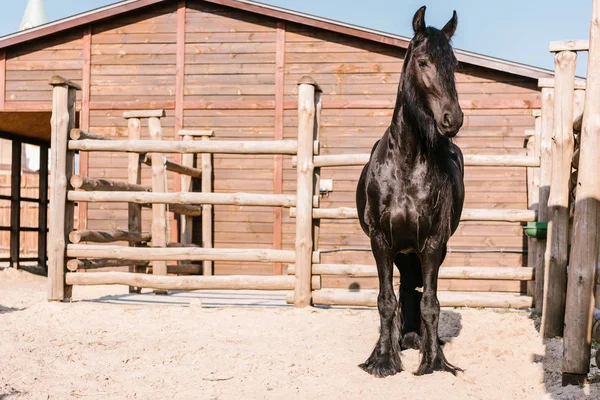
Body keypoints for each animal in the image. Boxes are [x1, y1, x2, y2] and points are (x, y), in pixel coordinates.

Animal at [356, 6, 464, 376]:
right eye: (422, 61)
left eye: (454, 64)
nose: (453, 119)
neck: (405, 164)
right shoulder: (380, 242)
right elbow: (385, 301)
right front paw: (382, 359)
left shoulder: (433, 243)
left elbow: (430, 302)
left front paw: (433, 361)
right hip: (400, 251)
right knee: (401, 291)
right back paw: (398, 340)